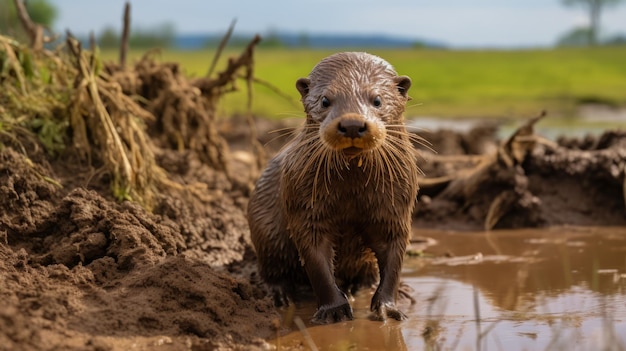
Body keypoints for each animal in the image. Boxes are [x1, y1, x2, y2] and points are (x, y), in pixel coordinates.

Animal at [246, 52, 416, 324]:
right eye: (325, 100)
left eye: (377, 100)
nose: (352, 124)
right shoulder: (305, 207)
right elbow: (317, 263)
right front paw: (334, 309)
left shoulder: (396, 208)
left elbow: (394, 256)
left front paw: (388, 306)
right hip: (266, 232)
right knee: (272, 268)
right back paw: (279, 294)